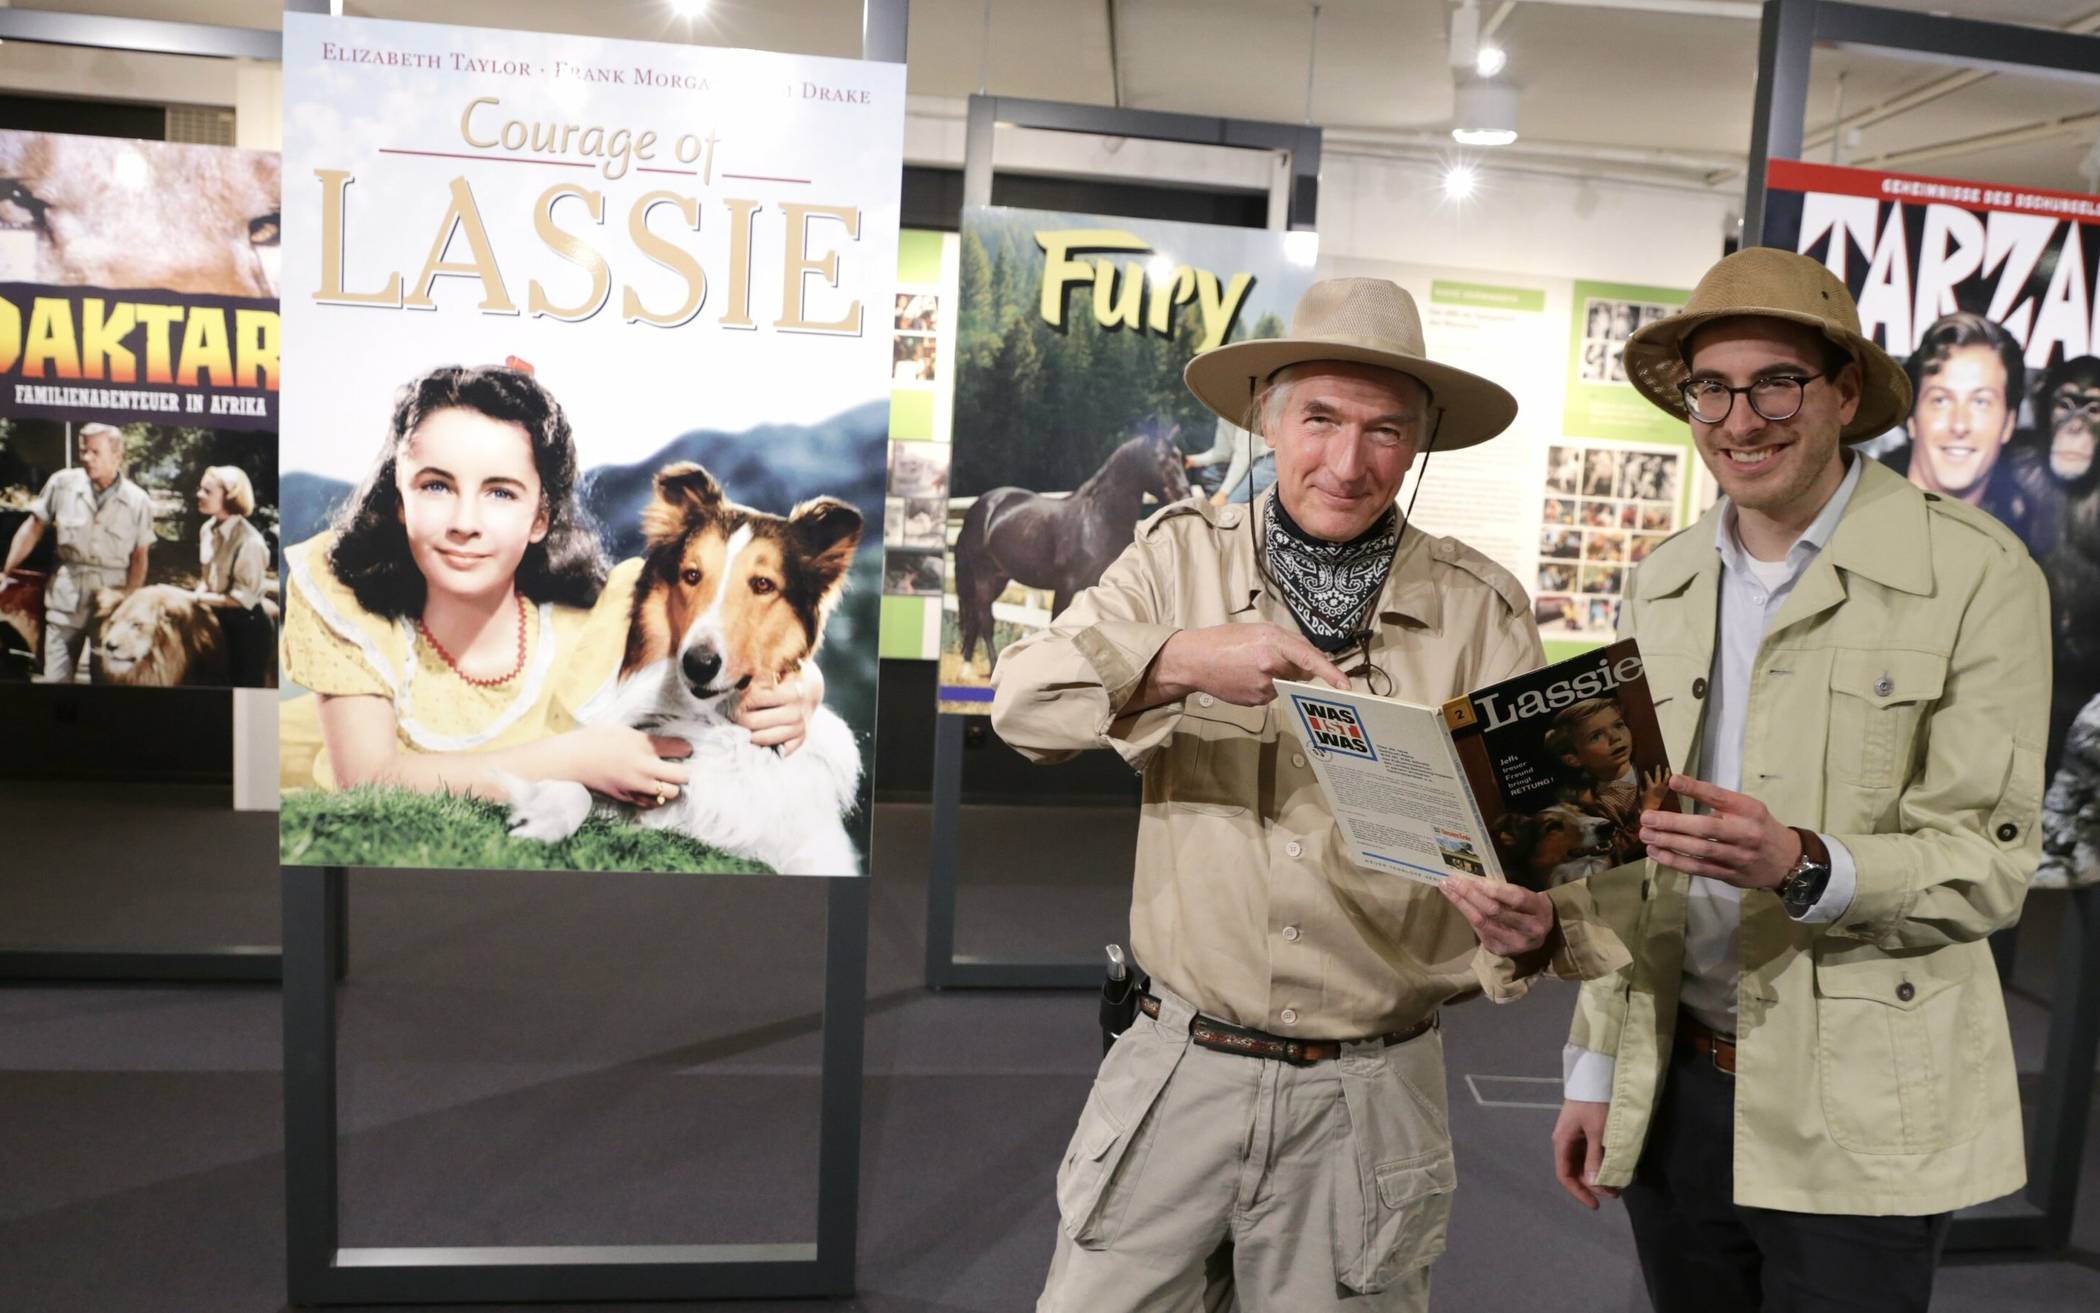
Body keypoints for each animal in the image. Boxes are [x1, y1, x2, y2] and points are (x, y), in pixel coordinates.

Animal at [503, 460, 865, 869]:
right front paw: (542, 819)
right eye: (692, 575)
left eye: (762, 584)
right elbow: (578, 781)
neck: (712, 723)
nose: (699, 664)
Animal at [957, 428, 1192, 676]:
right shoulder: (1065, 588)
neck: (1096, 521)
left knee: (975, 617)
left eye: (1181, 458)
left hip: (999, 579)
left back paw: (967, 667)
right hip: (984, 576)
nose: (1183, 496)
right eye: (1161, 458)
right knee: (985, 619)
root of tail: (981, 506)